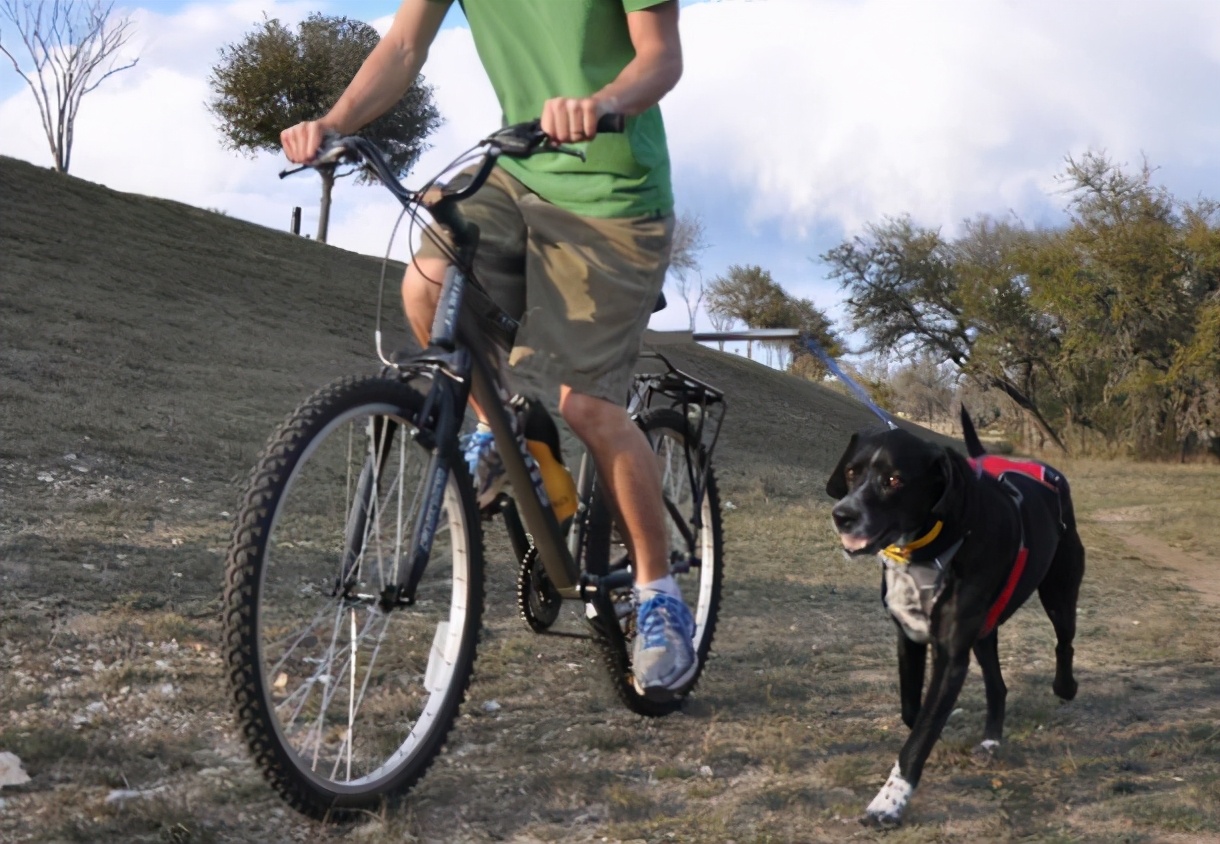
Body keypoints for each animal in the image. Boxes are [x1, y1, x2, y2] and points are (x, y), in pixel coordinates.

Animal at [824, 409, 1083, 824]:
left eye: (894, 480)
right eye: (851, 472)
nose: (842, 515)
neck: (931, 546)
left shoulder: (950, 656)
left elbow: (919, 735)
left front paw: (889, 801)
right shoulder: (910, 638)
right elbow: (914, 711)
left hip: (1059, 592)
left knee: (1065, 641)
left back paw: (1065, 687)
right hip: (984, 632)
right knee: (998, 684)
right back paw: (991, 739)